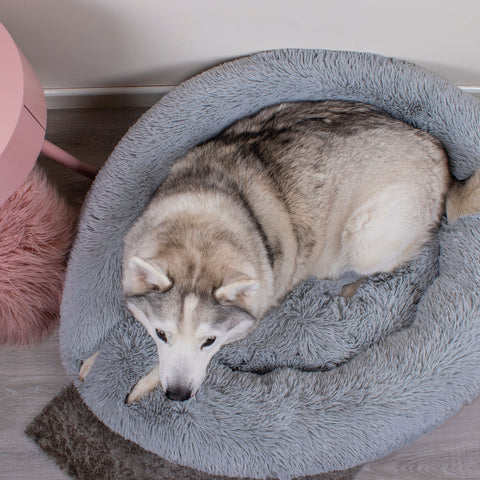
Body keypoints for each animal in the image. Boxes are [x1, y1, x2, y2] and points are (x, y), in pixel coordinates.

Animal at [80, 100, 480, 402]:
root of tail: (444, 162)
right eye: (162, 334)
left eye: (209, 341)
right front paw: (93, 360)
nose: (177, 396)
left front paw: (145, 381)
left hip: (366, 241)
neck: (201, 229)